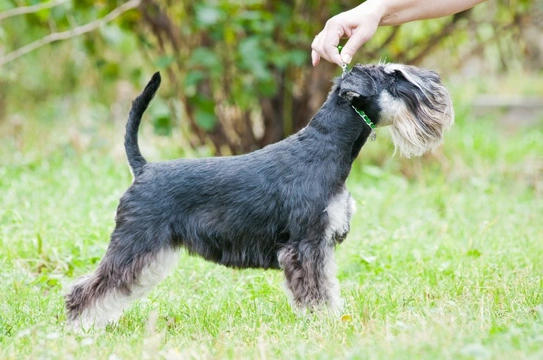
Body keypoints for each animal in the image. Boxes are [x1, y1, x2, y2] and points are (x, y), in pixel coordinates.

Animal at [65, 62, 454, 330]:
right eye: (394, 77)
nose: (436, 81)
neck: (326, 148)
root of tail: (143, 169)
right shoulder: (305, 245)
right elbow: (315, 289)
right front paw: (323, 323)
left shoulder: (320, 245)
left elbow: (327, 284)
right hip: (135, 244)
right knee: (89, 288)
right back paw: (79, 327)